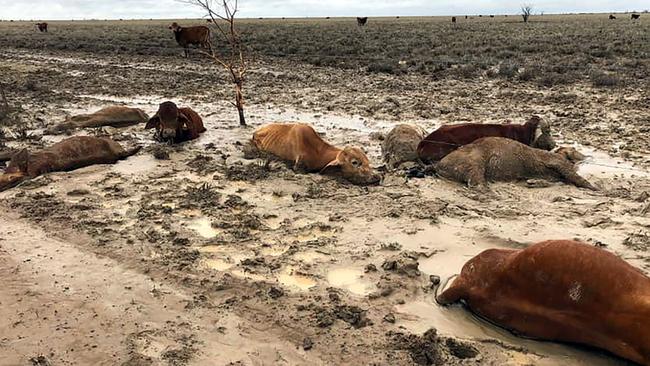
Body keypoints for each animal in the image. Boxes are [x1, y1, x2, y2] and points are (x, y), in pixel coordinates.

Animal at [432, 136, 596, 190]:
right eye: (574, 149)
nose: (589, 156)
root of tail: (438, 166)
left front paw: (532, 182)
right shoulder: (558, 162)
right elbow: (575, 177)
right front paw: (596, 188)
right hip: (473, 160)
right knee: (476, 181)